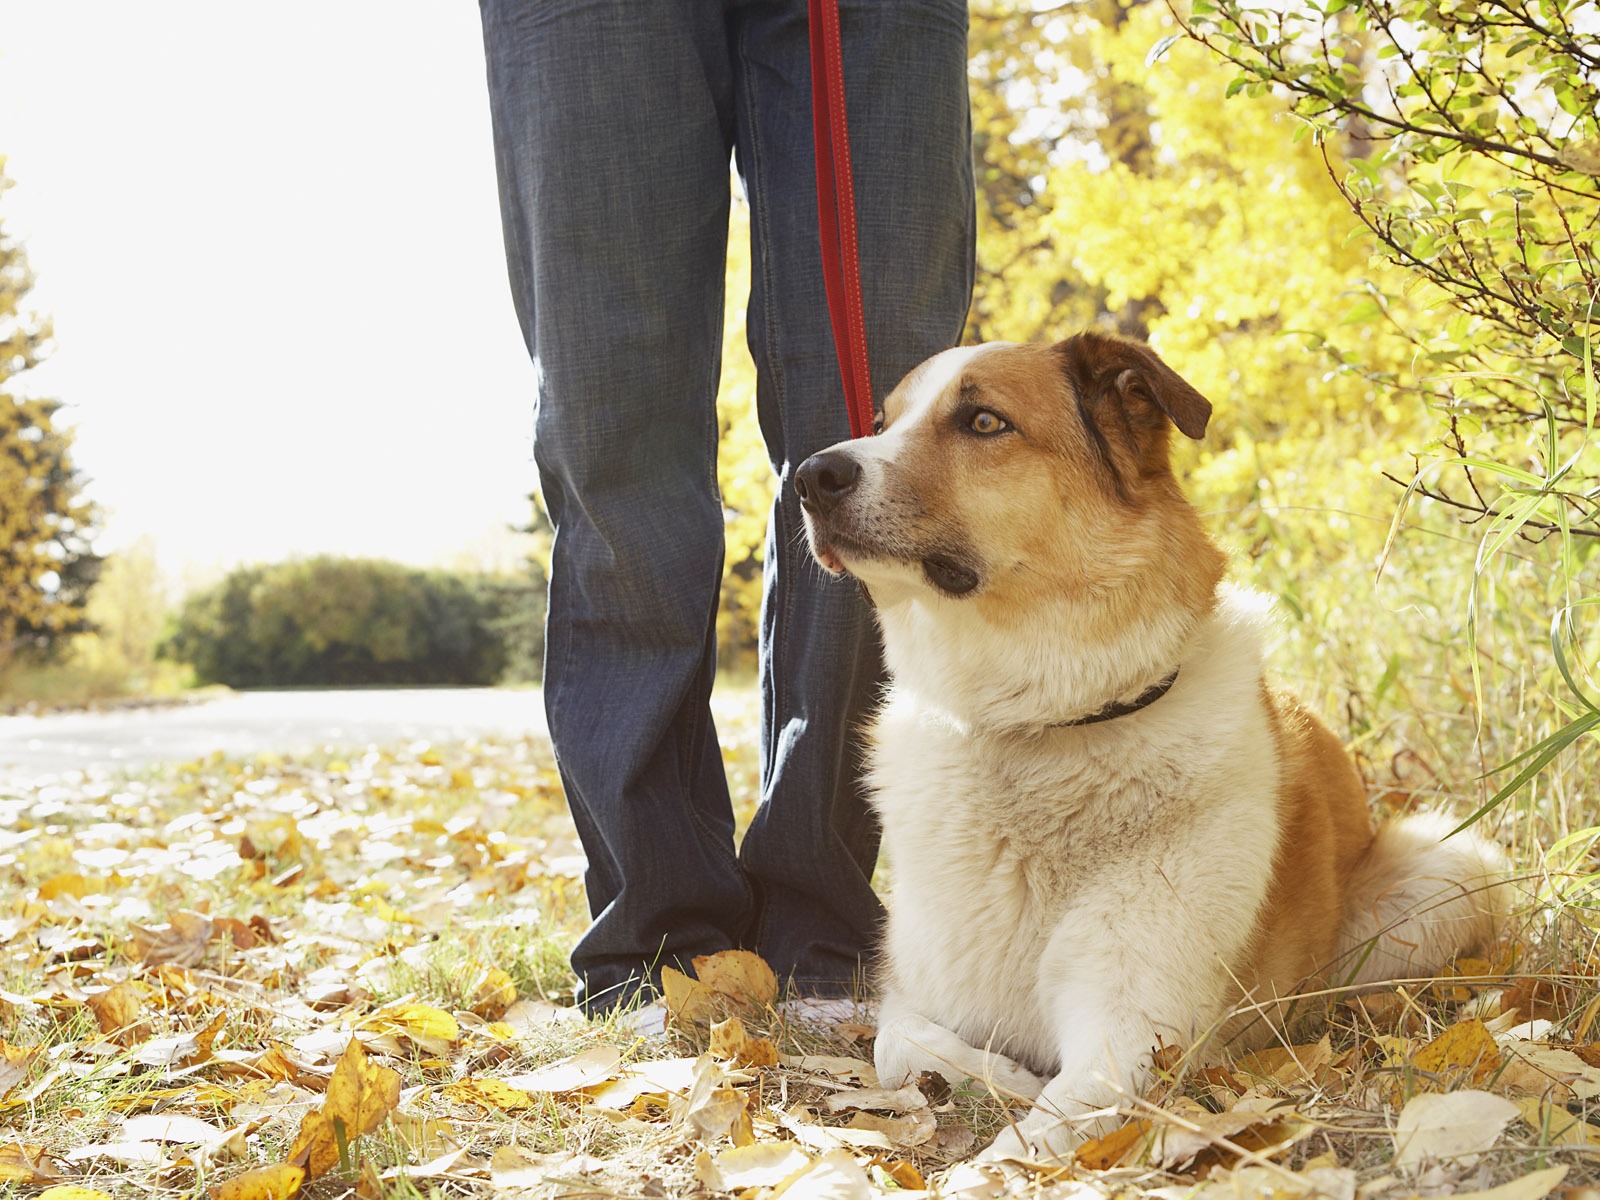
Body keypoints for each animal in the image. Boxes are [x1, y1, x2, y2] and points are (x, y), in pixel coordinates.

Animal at [793, 331, 1504, 1164]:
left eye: (983, 421)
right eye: (885, 421)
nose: (811, 475)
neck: (1041, 733)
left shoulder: (1130, 1039)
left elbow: (1024, 1147)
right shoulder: (915, 995)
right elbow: (895, 1046)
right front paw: (1005, 1078)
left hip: (1452, 866)